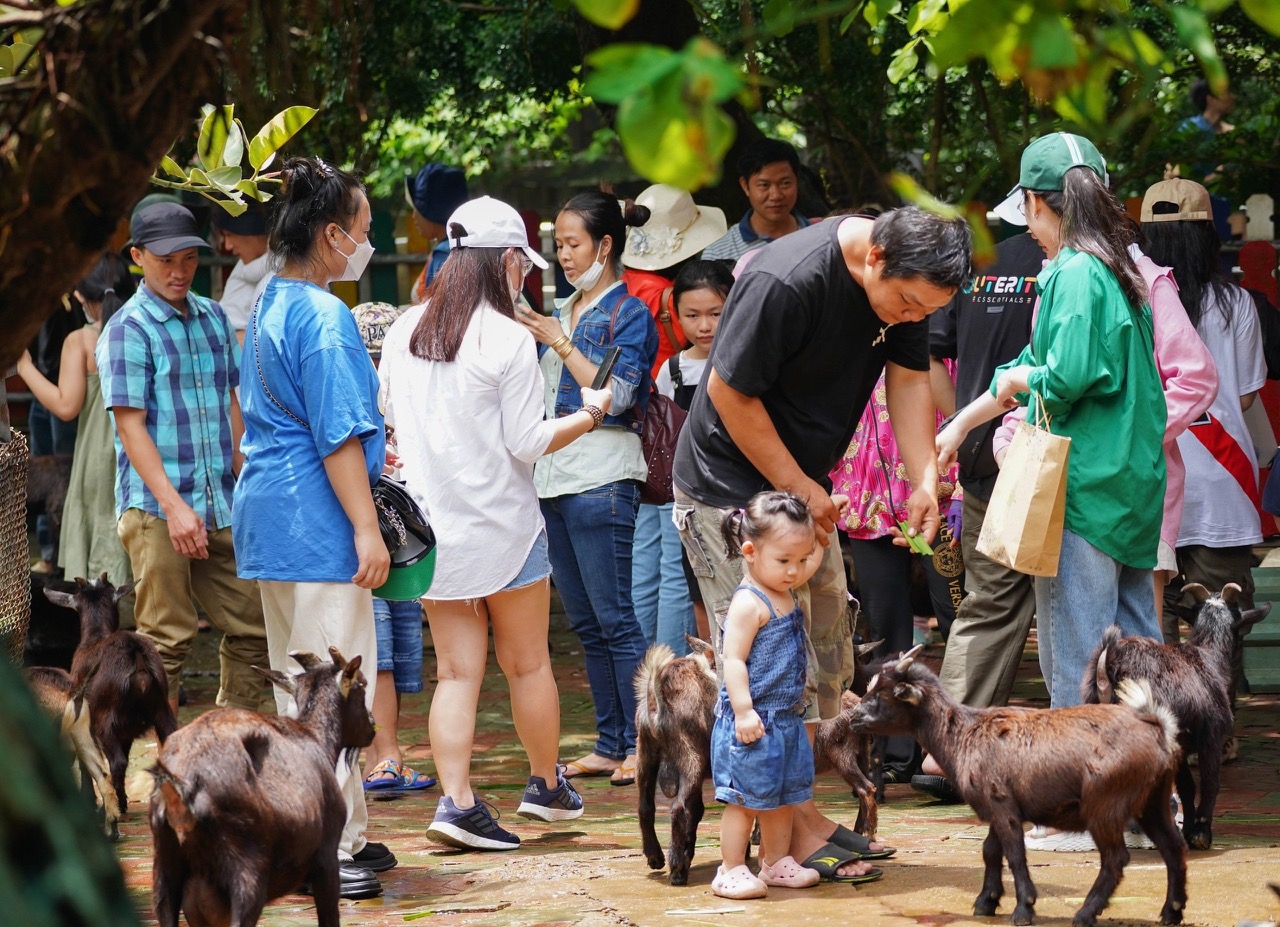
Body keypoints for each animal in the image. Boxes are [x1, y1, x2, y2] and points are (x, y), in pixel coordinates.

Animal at [44, 571, 177, 809]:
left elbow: (88, 761)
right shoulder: (126, 731)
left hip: (105, 718)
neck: (95, 637)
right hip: (162, 708)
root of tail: (137, 656)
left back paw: (118, 805)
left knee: (116, 761)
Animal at [149, 647, 373, 926]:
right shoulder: (326, 854)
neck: (317, 738)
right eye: (362, 684)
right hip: (247, 872)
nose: (372, 726)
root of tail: (182, 785)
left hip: (166, 871)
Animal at [632, 632, 880, 886]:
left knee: (646, 806)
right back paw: (677, 869)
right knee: (678, 809)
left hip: (647, 756)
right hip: (689, 758)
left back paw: (656, 857)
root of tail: (658, 702)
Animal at [849, 645, 1187, 926]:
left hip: (1105, 804)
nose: (852, 717)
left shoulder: (1002, 805)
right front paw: (986, 901)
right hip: (1152, 801)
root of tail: (1157, 730)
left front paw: (1024, 908)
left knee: (1116, 859)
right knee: (1173, 848)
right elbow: (990, 850)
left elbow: (1014, 854)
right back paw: (1172, 911)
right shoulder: (998, 808)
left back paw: (1085, 913)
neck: (963, 735)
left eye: (882, 694)